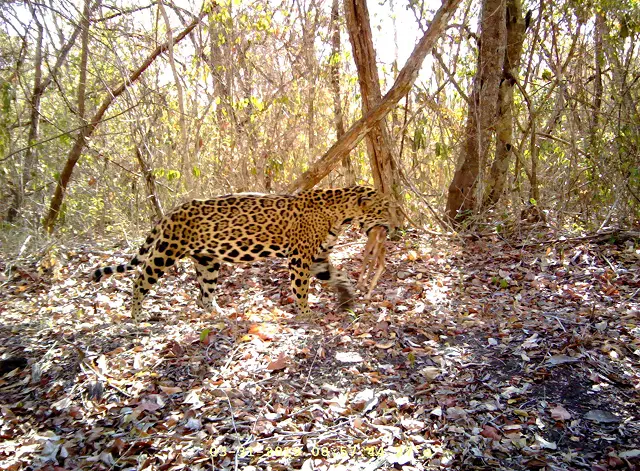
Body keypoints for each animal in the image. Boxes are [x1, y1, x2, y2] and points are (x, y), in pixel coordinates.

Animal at [92, 186, 390, 321]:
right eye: (384, 208)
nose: (394, 224)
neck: (340, 214)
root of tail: (171, 212)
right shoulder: (300, 258)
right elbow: (301, 289)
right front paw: (306, 314)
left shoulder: (317, 259)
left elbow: (338, 275)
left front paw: (347, 294)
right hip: (166, 251)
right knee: (140, 280)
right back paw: (136, 317)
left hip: (207, 262)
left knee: (204, 294)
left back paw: (219, 314)